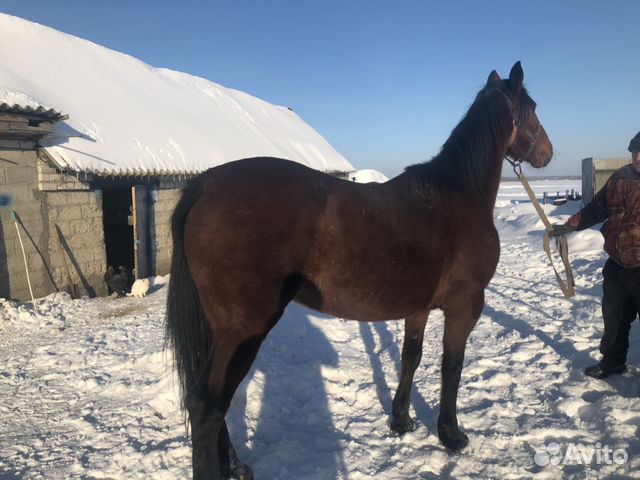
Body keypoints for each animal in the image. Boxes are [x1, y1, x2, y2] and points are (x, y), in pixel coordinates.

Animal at [168, 62, 552, 478]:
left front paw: (401, 420)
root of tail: (206, 185)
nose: (547, 153)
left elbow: (411, 357)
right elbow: (452, 366)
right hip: (242, 329)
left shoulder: (418, 308)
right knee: (208, 405)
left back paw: (237, 465)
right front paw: (451, 435)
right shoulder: (465, 305)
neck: (458, 196)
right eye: (532, 108)